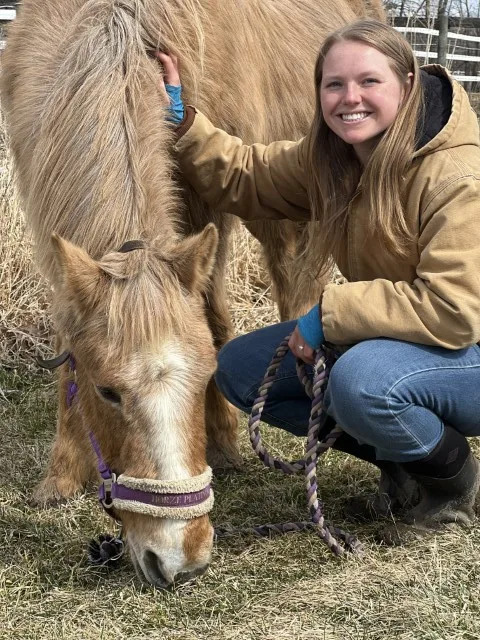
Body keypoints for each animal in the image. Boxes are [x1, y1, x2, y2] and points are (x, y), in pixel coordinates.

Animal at [1, 0, 384, 587]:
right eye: (107, 392)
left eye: (207, 374)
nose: (182, 557)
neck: (120, 31)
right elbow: (68, 343)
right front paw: (61, 477)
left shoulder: (210, 207)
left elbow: (213, 319)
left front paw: (223, 441)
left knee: (296, 287)